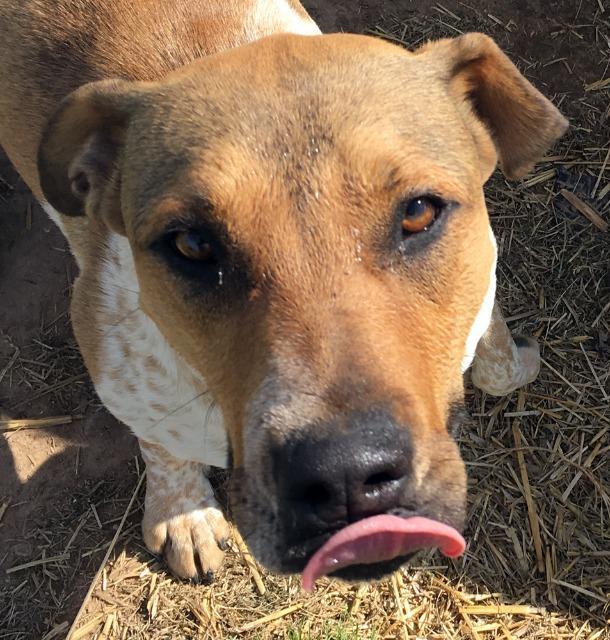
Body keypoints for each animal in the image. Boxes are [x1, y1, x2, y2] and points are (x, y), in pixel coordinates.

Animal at [0, 1, 564, 592]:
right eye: (191, 244)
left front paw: (514, 359)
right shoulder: (109, 350)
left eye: (418, 212)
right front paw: (183, 515)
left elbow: (498, 367)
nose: (345, 475)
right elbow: (161, 443)